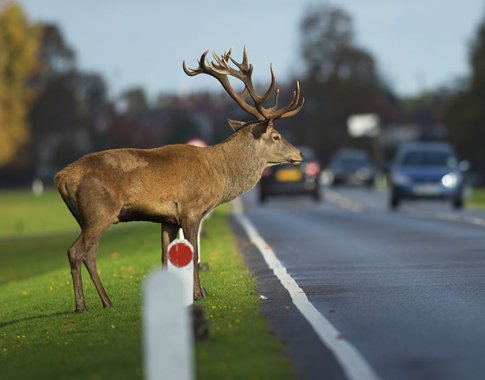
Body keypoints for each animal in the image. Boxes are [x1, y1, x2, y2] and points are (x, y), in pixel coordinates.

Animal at [55, 47, 302, 314]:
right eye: (276, 136)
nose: (300, 153)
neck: (219, 173)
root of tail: (62, 177)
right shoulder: (190, 209)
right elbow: (193, 254)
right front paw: (199, 294)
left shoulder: (168, 219)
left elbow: (165, 257)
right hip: (99, 212)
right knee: (76, 251)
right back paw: (83, 305)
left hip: (86, 218)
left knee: (89, 254)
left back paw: (105, 302)